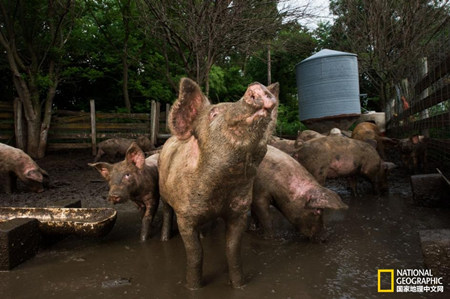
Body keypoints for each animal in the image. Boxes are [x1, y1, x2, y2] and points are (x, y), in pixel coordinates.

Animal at [158, 78, 278, 290]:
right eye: (213, 114)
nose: (257, 86)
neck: (221, 187)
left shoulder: (239, 210)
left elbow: (232, 249)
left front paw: (239, 285)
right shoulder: (184, 216)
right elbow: (196, 253)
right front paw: (193, 287)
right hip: (163, 193)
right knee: (165, 212)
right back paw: (164, 239)